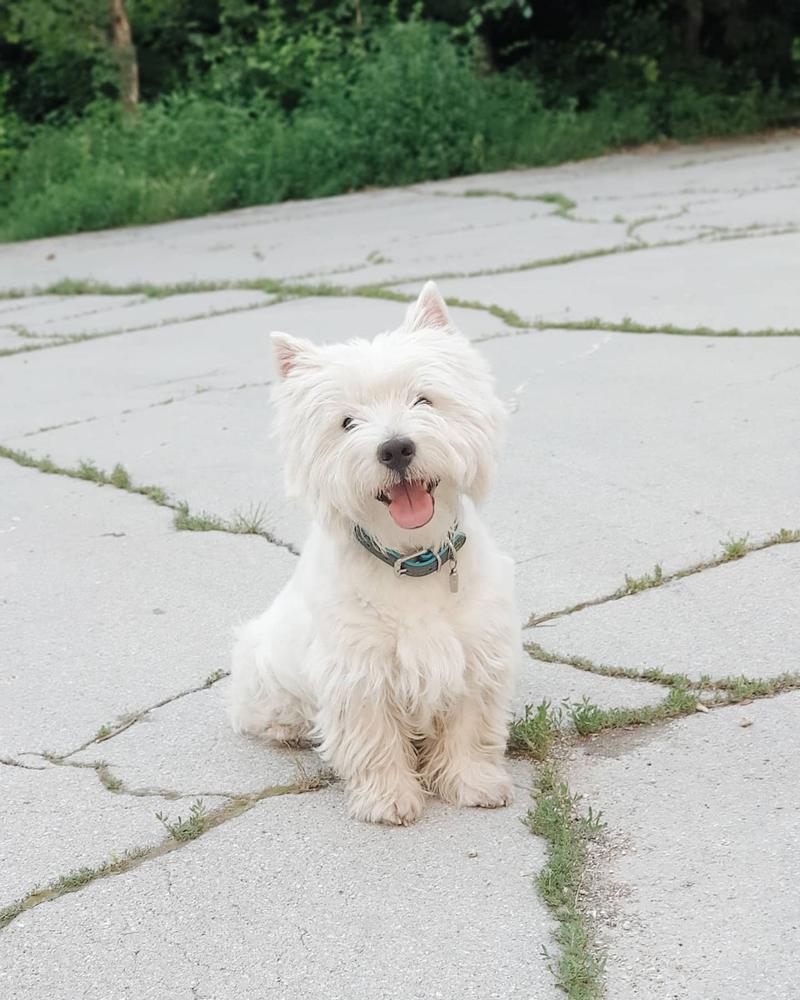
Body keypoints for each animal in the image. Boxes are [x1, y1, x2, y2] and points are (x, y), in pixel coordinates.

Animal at [228, 284, 520, 828]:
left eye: (423, 398)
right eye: (347, 422)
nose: (396, 448)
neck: (412, 560)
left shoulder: (474, 653)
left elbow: (469, 727)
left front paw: (474, 783)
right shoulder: (358, 669)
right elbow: (374, 739)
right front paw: (390, 800)